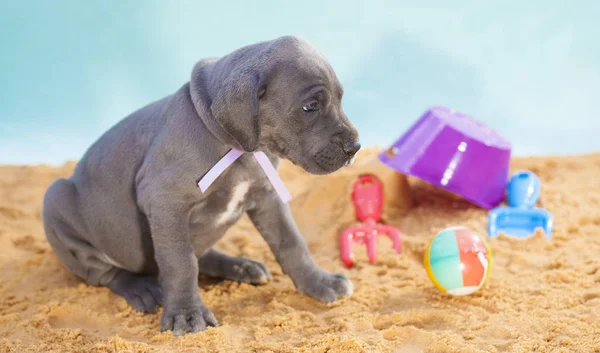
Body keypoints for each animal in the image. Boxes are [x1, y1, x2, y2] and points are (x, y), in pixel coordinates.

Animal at [43, 35, 360, 336]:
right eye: (310, 106)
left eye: (341, 99)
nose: (355, 147)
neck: (242, 150)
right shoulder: (165, 200)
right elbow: (181, 262)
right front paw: (186, 314)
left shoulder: (267, 196)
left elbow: (291, 242)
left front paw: (318, 281)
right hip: (57, 200)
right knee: (104, 272)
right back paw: (140, 287)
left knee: (201, 253)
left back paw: (240, 266)